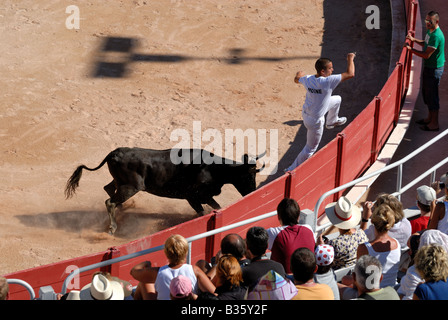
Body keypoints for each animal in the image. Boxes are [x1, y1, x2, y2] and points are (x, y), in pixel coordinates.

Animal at [65, 148, 264, 235]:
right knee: (110, 201)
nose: (252, 192)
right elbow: (205, 212)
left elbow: (215, 207)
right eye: (248, 175)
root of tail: (114, 153)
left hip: (121, 183)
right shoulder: (193, 196)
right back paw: (113, 226)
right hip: (131, 187)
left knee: (108, 189)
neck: (212, 168)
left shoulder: (202, 197)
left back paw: (123, 209)